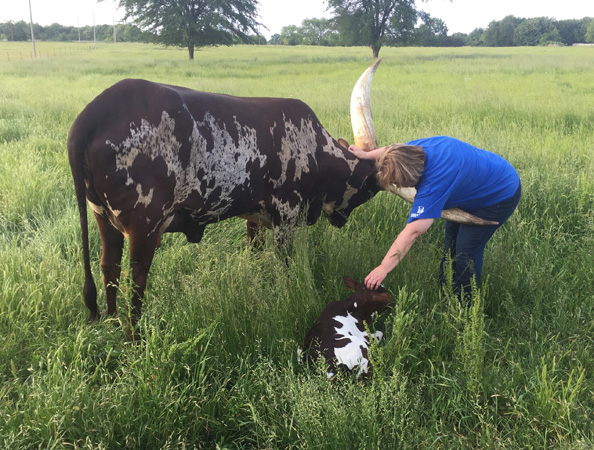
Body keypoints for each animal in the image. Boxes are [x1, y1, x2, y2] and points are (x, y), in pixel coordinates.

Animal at [69, 59, 384, 338]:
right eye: (369, 189)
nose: (341, 220)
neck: (315, 147)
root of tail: (94, 113)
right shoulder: (285, 215)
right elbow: (285, 265)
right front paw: (288, 295)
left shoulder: (254, 217)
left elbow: (256, 253)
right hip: (144, 224)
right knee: (135, 280)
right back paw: (134, 338)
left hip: (102, 217)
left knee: (109, 267)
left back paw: (113, 323)